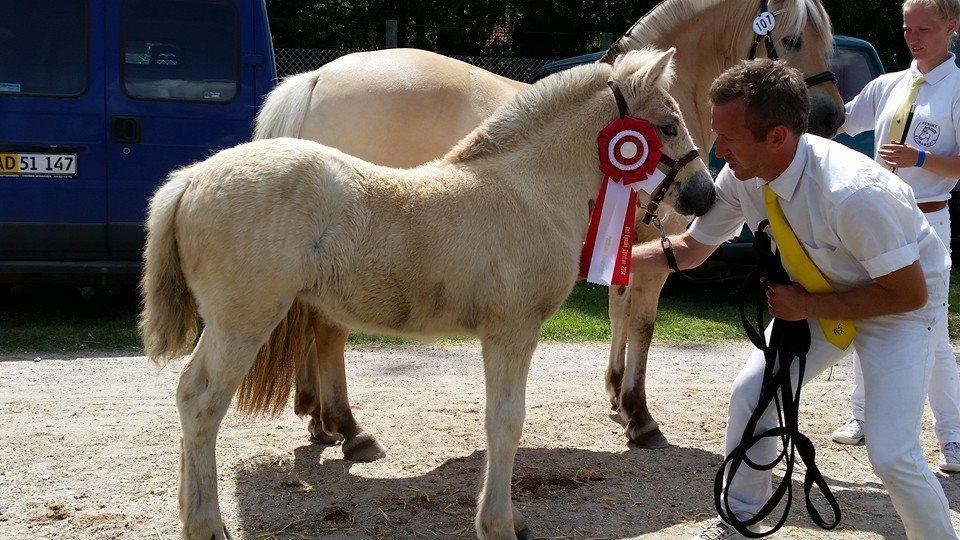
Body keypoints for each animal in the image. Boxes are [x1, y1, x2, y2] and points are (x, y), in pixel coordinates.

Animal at [142, 47, 708, 540]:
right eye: (668, 126)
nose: (704, 195)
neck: (527, 191)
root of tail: (190, 179)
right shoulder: (512, 330)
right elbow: (506, 423)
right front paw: (499, 524)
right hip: (243, 322)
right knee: (203, 403)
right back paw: (208, 524)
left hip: (227, 323)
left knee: (188, 393)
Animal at [251, 0, 844, 448]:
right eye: (792, 40)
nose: (829, 116)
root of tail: (319, 76)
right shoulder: (655, 250)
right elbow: (643, 325)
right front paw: (639, 416)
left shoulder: (627, 243)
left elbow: (618, 313)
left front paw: (615, 396)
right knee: (328, 334)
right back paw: (349, 429)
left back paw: (317, 417)